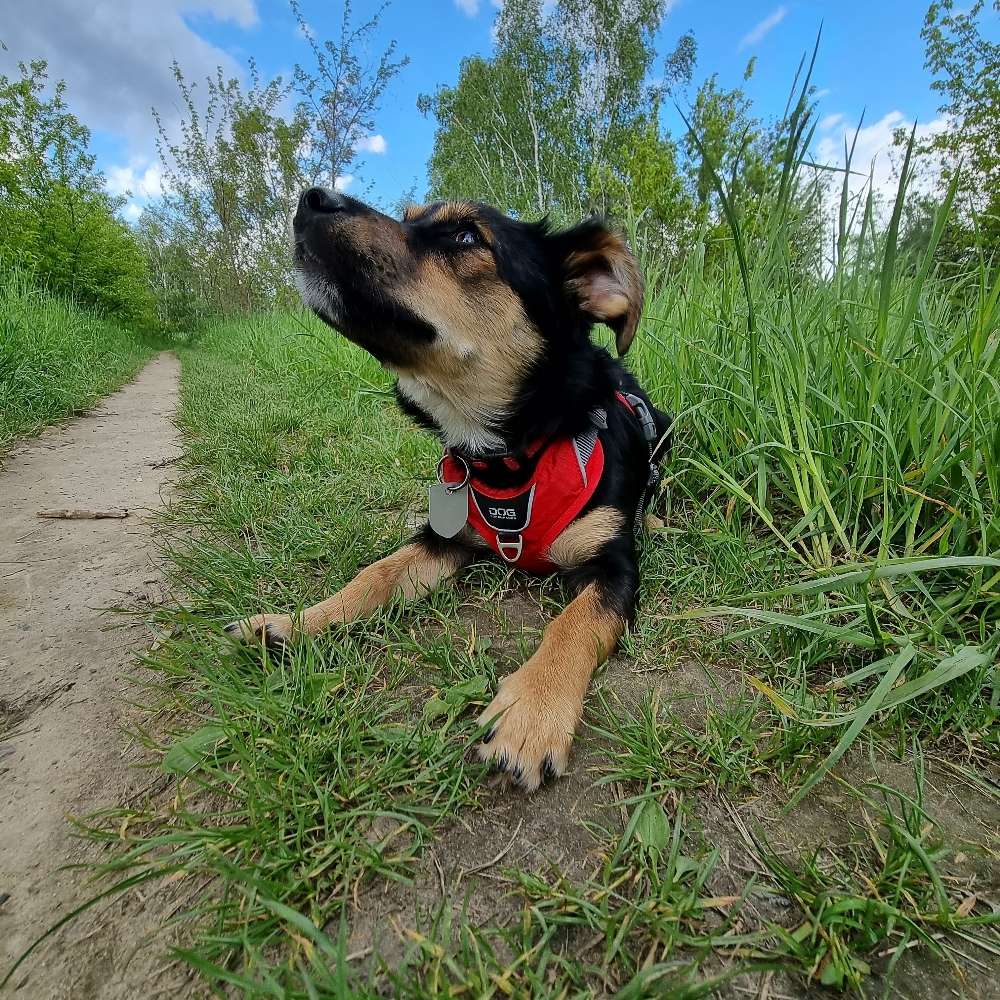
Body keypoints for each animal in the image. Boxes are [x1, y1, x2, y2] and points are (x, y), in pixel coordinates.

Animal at [228, 188, 668, 792]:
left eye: (465, 237)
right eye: (409, 218)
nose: (312, 198)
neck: (510, 457)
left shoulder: (614, 568)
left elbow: (574, 623)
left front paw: (532, 713)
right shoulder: (443, 540)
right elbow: (374, 575)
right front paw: (295, 622)